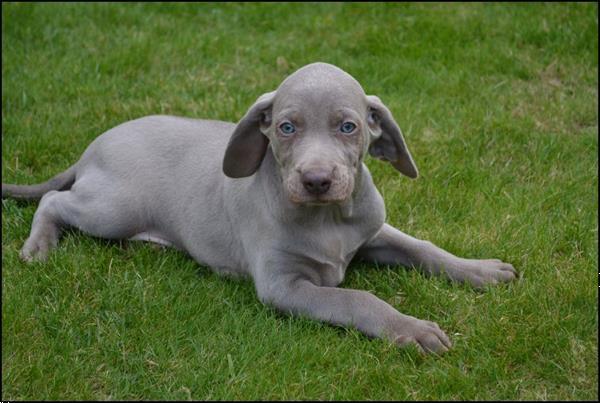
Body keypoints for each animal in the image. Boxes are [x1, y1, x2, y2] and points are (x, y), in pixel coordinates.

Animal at [1, 62, 516, 354]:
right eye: (286, 128)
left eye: (348, 127)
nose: (316, 181)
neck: (328, 218)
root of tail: (93, 146)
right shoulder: (283, 285)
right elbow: (355, 298)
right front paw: (408, 328)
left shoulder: (373, 233)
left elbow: (425, 248)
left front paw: (481, 271)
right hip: (113, 208)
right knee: (53, 200)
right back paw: (38, 247)